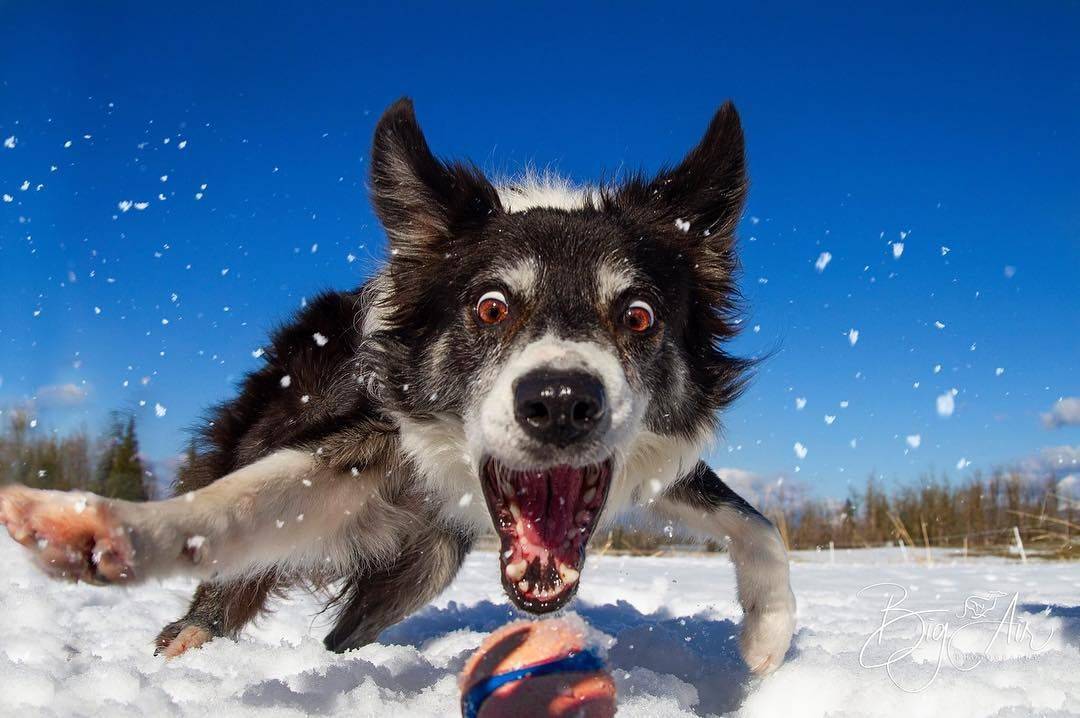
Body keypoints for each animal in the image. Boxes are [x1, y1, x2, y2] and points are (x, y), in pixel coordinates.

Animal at [0, 99, 794, 673]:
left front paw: (766, 638)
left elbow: (758, 522)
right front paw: (99, 530)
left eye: (637, 315)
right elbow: (232, 504)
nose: (561, 404)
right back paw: (189, 644)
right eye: (491, 307)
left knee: (345, 630)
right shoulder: (362, 439)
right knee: (231, 573)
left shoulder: (659, 452)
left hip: (425, 568)